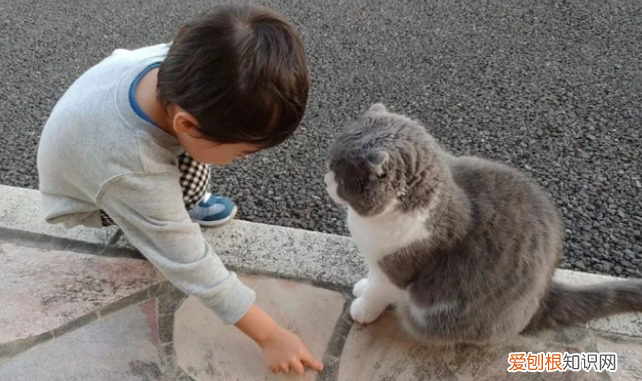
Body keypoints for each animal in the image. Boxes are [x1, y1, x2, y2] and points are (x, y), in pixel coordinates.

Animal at [324, 102, 640, 342]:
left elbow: (378, 291)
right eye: (329, 165)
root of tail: (544, 294)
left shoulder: (396, 270)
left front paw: (363, 309)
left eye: (341, 178)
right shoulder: (376, 260)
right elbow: (371, 279)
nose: (325, 180)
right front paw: (361, 286)